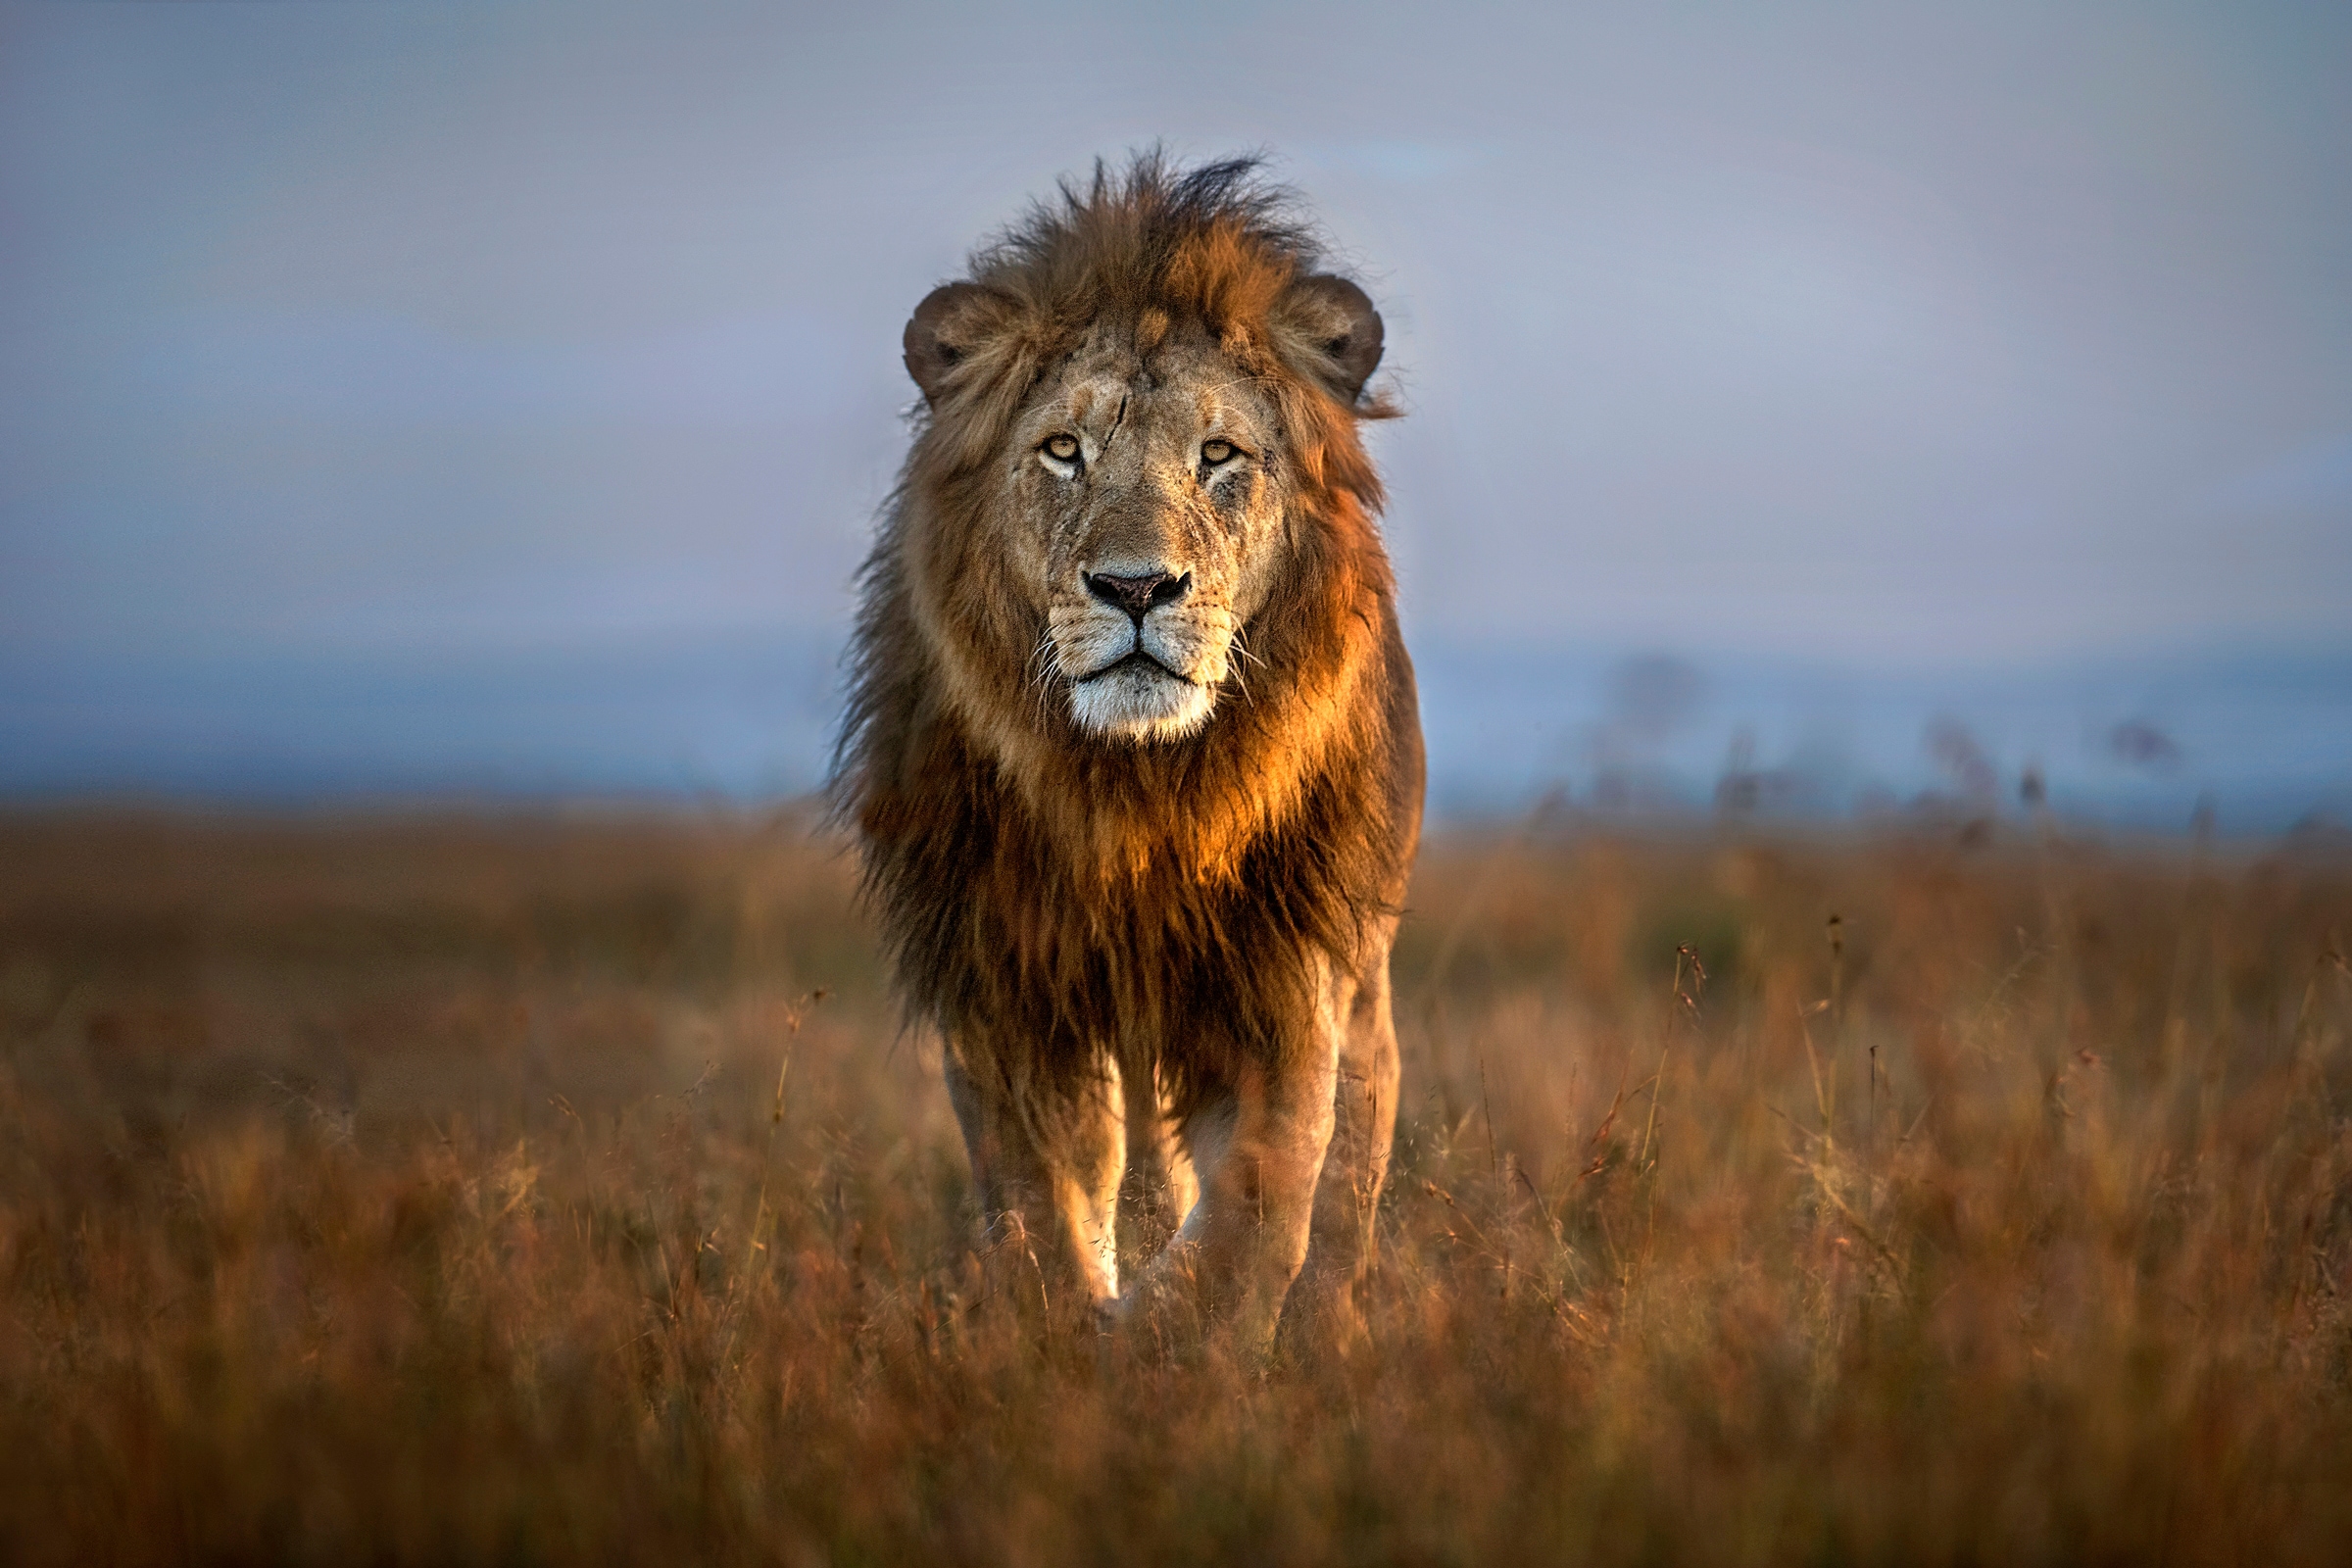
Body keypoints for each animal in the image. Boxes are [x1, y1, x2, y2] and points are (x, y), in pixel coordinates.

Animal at [834, 152, 1423, 1353]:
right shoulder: (1006, 982)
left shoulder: (1285, 975)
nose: (1138, 587)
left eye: (1219, 454)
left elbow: (1263, 1195)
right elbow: (1042, 1198)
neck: (1140, 793)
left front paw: (1176, 1344)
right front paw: (1067, 1336)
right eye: (1064, 450)